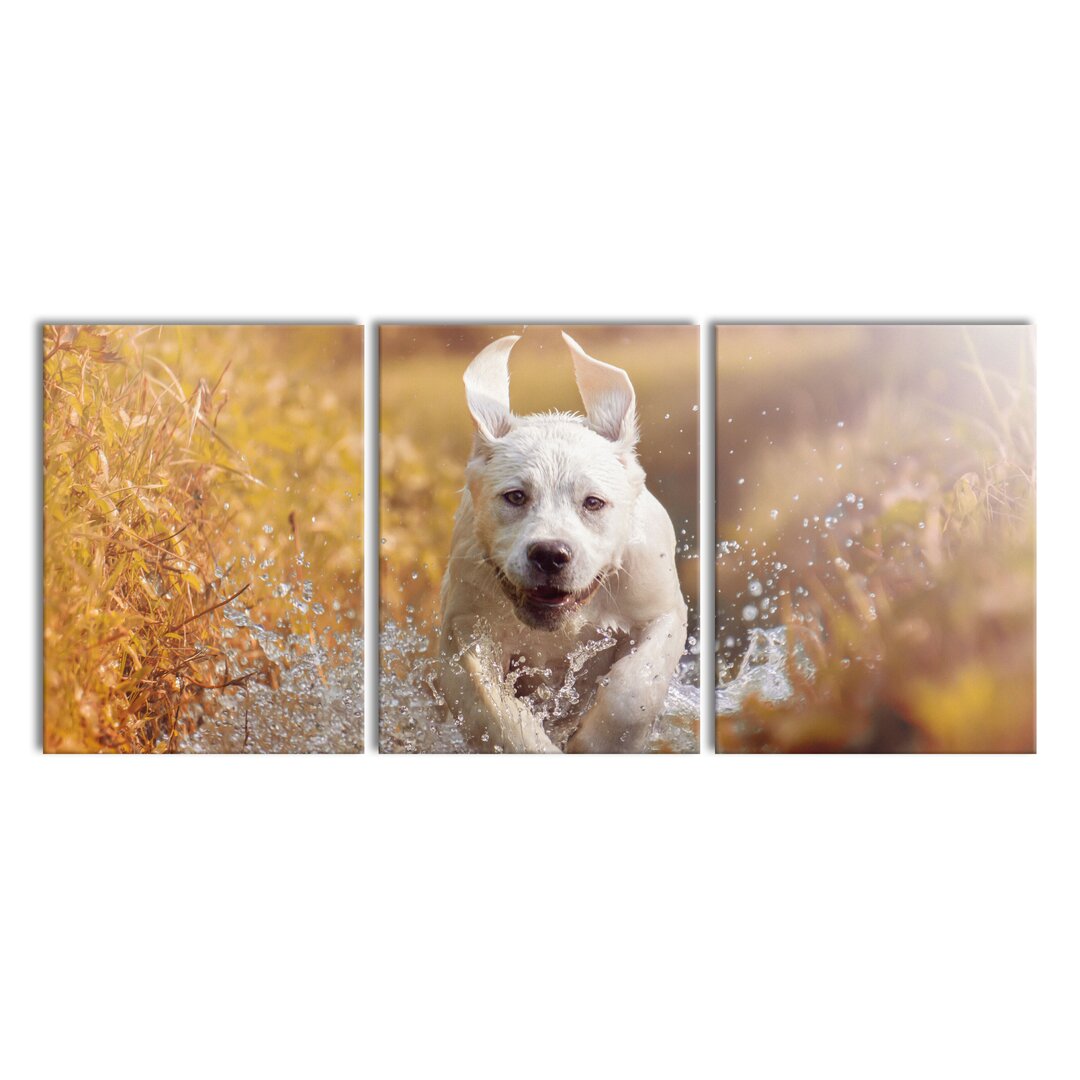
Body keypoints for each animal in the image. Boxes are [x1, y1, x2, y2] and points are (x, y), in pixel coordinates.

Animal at [436, 332, 682, 756]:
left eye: (593, 502)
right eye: (515, 496)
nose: (550, 555)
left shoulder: (660, 610)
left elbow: (634, 688)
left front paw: (601, 744)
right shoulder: (465, 626)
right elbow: (492, 706)